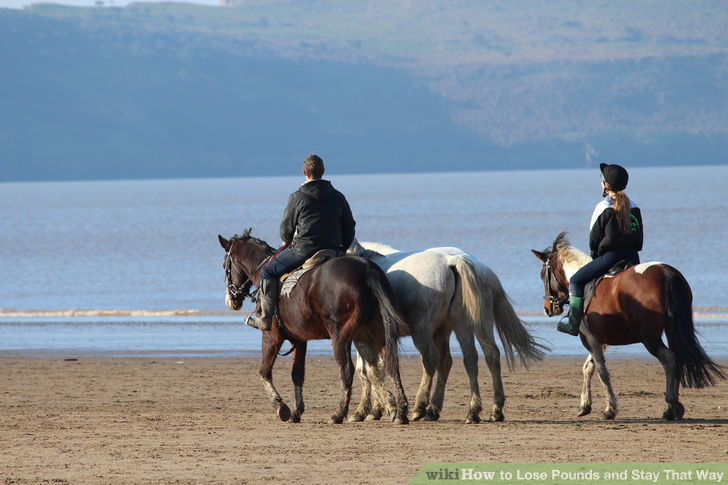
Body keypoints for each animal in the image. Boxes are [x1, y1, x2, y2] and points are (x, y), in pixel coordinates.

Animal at [216, 231, 410, 424]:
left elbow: (264, 372)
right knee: (389, 365)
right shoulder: (299, 340)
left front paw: (281, 407)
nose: (231, 300)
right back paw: (399, 411)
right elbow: (297, 374)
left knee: (347, 370)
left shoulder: (271, 336)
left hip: (341, 336)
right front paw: (296, 411)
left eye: (225, 265)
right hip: (374, 332)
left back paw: (339, 413)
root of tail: (367, 270)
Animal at [346, 240, 544, 422]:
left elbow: (367, 371)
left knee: (431, 359)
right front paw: (375, 409)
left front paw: (367, 411)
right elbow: (371, 369)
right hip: (469, 323)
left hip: (424, 328)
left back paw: (421, 406)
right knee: (480, 357)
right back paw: (481, 411)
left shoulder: (366, 337)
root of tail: (456, 260)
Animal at [532, 233, 724, 418]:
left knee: (670, 360)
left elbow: (602, 372)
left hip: (649, 338)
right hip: (670, 331)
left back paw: (671, 406)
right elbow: (588, 368)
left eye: (542, 275)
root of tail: (664, 272)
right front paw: (585, 405)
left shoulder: (589, 338)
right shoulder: (599, 340)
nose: (547, 308)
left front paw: (610, 408)